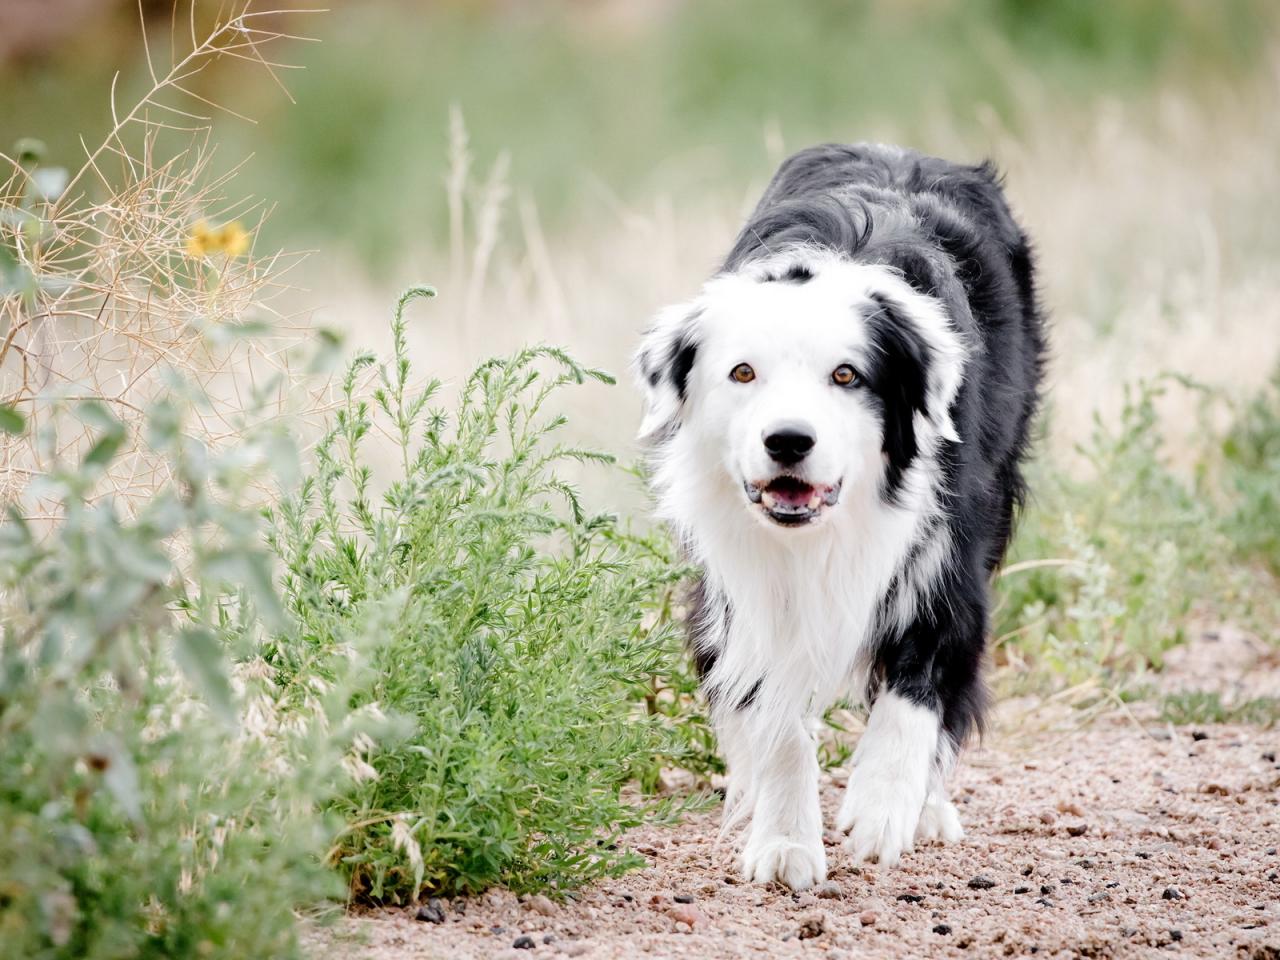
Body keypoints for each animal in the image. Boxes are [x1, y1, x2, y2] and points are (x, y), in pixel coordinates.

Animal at [634, 144, 1044, 896]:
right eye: (742, 373)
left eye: (847, 376)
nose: (789, 441)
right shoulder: (735, 591)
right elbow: (777, 719)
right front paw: (786, 841)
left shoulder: (946, 557)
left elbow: (919, 687)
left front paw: (883, 807)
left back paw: (925, 807)